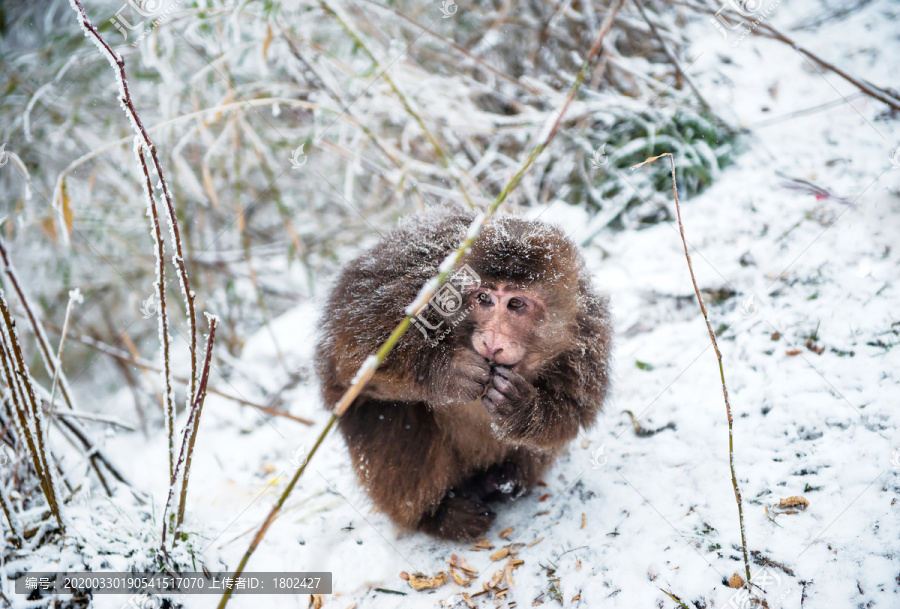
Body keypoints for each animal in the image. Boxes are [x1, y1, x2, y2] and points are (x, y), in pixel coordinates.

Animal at [316, 207, 612, 540]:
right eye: (484, 299)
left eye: (516, 303)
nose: (492, 342)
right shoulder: (414, 284)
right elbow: (352, 351)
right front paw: (445, 372)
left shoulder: (589, 337)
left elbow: (575, 411)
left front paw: (521, 408)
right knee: (388, 411)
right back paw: (438, 513)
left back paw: (504, 482)